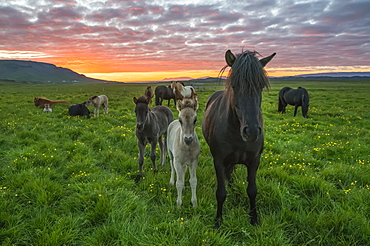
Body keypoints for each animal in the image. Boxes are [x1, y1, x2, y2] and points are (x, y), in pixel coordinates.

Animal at [201, 50, 276, 229]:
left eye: (260, 86)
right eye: (234, 85)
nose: (252, 132)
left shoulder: (254, 161)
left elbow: (252, 190)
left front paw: (253, 219)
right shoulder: (219, 161)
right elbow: (221, 193)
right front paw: (218, 221)